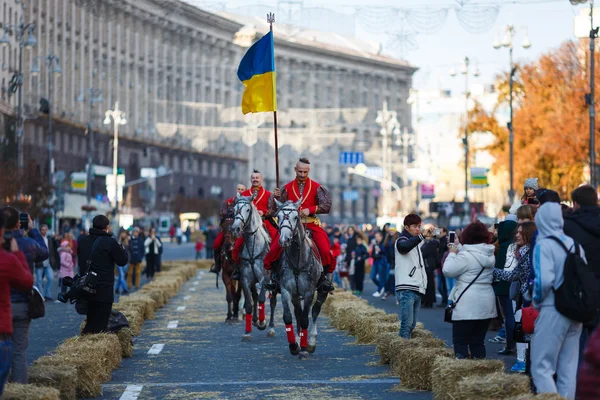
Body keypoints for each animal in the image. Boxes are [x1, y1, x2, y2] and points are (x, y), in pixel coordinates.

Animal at [231, 194, 278, 340]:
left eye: (247, 209)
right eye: (234, 209)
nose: (235, 229)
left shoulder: (265, 279)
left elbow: (263, 298)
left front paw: (263, 322)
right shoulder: (245, 280)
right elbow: (249, 304)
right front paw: (247, 331)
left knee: (272, 301)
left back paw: (271, 327)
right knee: (255, 296)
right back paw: (255, 320)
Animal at [276, 198, 328, 358]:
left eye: (295, 217)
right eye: (278, 216)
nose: (284, 240)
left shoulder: (309, 292)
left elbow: (306, 318)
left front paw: (305, 348)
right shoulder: (286, 290)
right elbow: (288, 316)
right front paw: (294, 345)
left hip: (322, 291)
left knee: (315, 311)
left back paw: (310, 342)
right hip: (295, 294)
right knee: (298, 313)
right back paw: (299, 340)